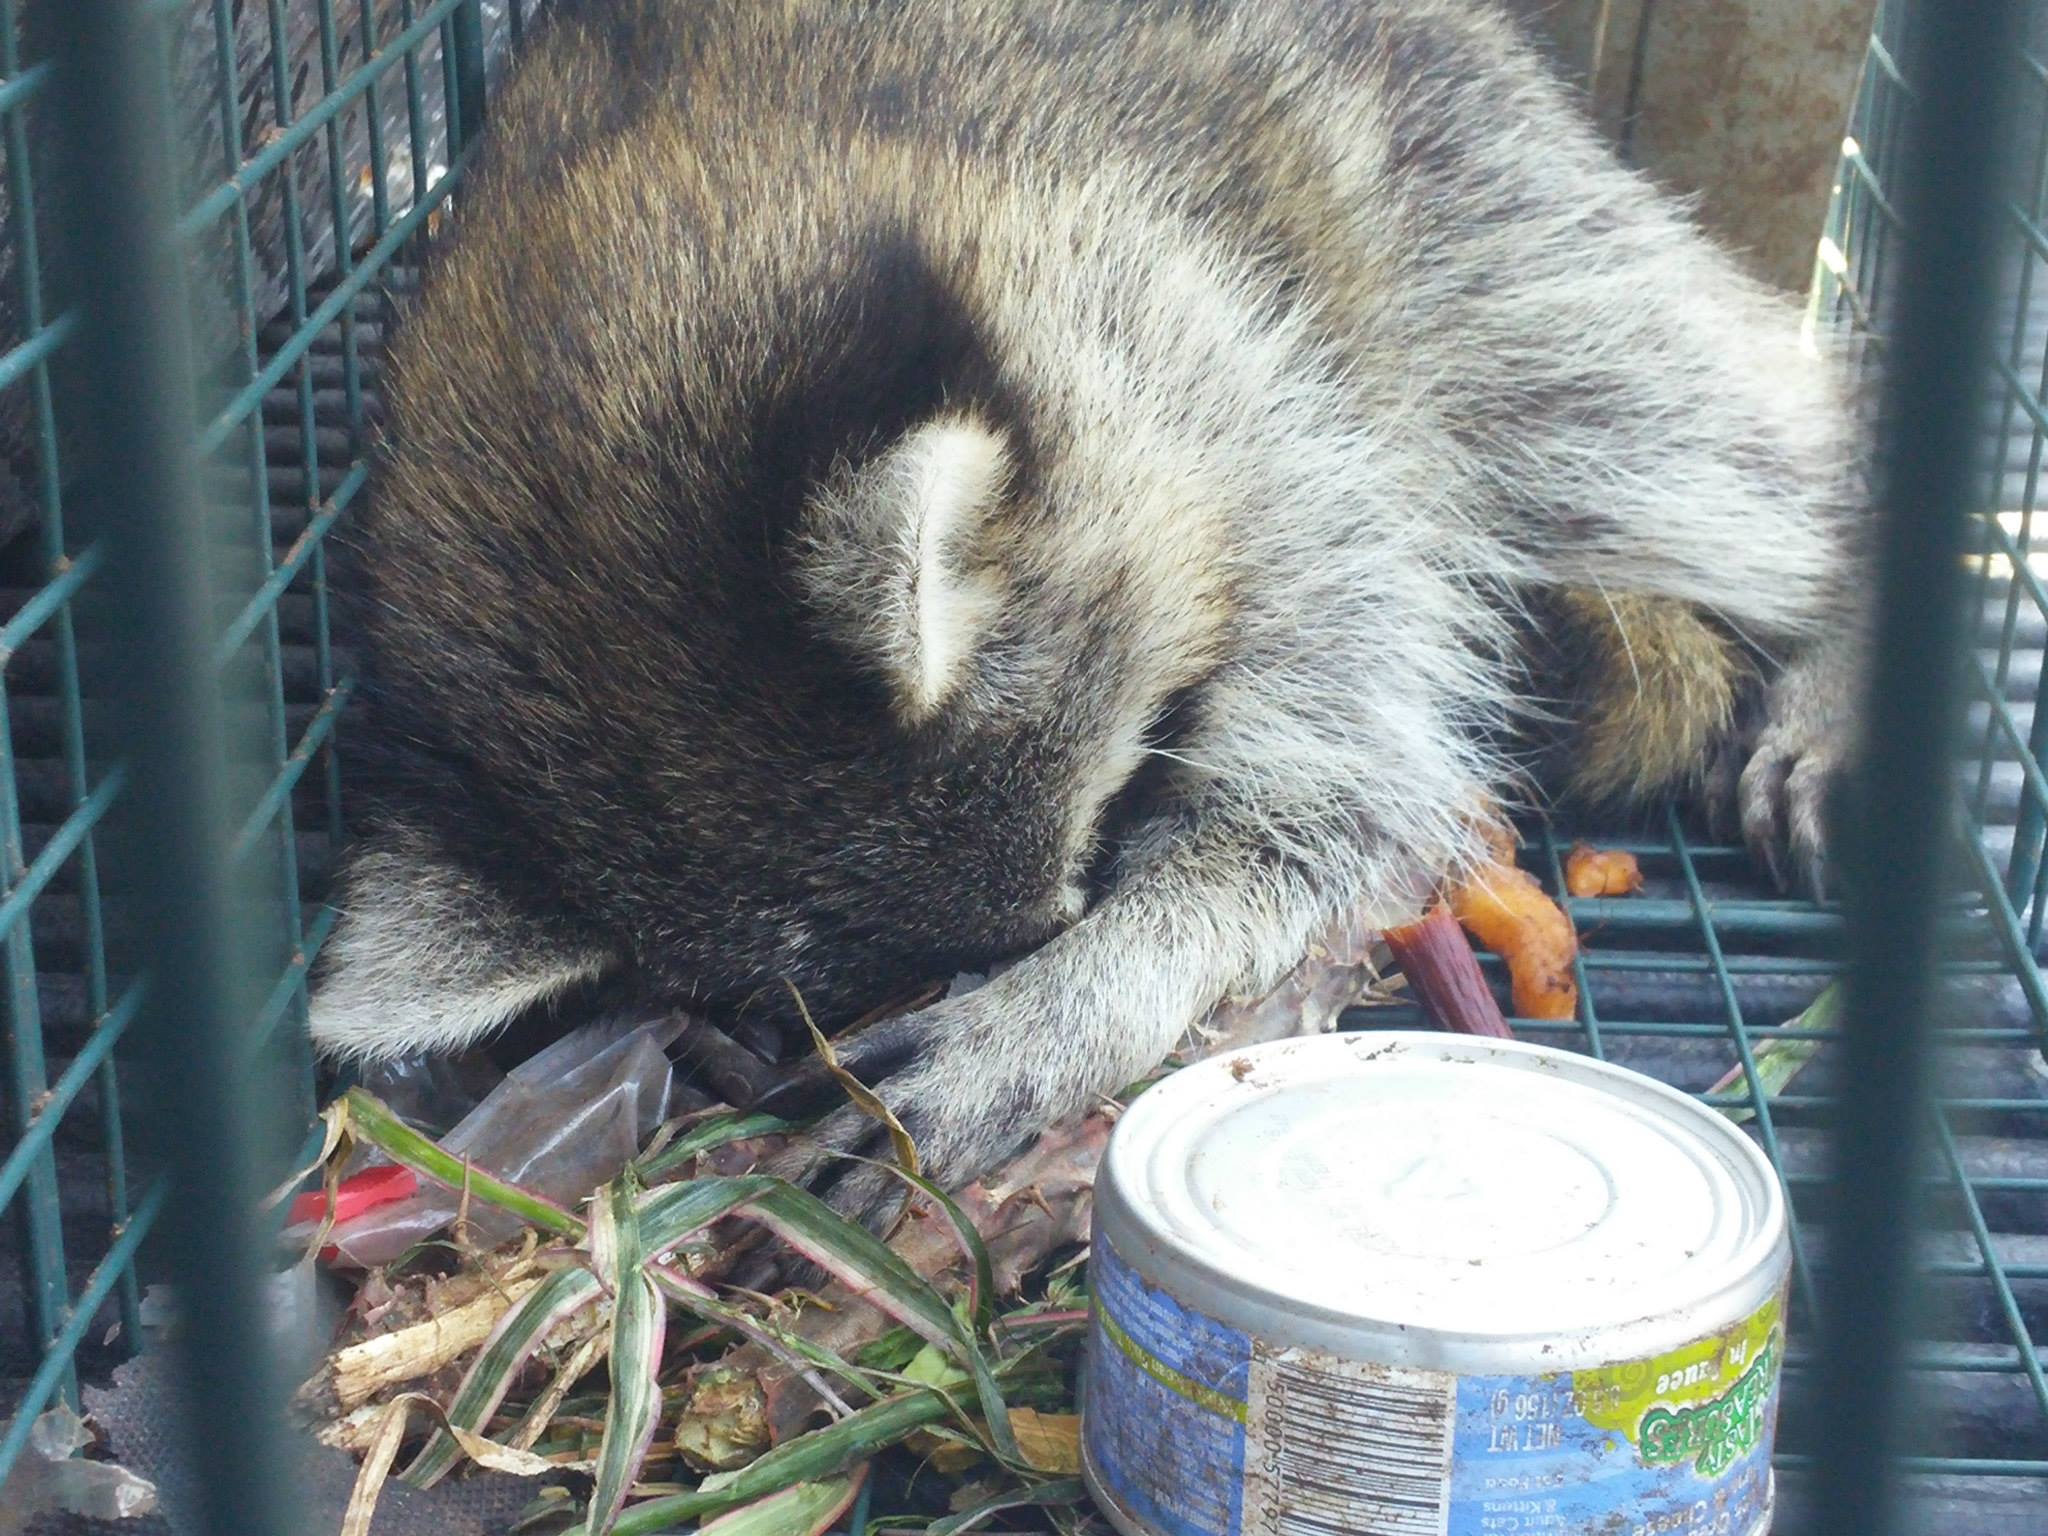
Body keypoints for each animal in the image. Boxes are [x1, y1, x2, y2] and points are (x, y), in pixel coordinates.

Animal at [311, 3, 1867, 1228]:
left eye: (1107, 848)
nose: (1069, 933)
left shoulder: (1253, 386)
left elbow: (1340, 798)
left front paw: (1088, 988)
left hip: (1468, 200)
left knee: (1683, 428)